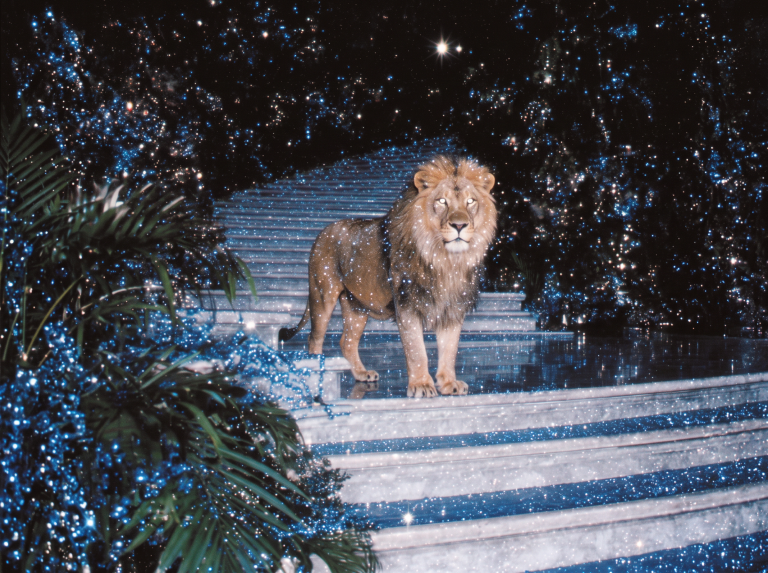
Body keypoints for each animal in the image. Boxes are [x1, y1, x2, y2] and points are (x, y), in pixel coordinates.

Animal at [279, 155, 497, 398]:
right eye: (442, 201)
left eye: (470, 202)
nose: (459, 225)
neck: (445, 259)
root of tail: (323, 231)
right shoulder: (406, 305)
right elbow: (416, 349)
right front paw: (421, 385)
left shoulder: (453, 306)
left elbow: (449, 349)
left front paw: (449, 383)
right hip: (322, 295)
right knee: (314, 338)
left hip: (356, 306)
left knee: (347, 341)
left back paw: (362, 374)